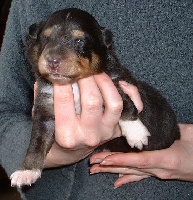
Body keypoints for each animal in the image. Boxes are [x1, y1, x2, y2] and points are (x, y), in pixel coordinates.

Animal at [10, 7, 179, 188]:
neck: (74, 84)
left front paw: (135, 133)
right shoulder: (45, 111)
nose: (52, 61)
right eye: (45, 38)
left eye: (79, 41)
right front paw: (26, 172)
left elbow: (125, 102)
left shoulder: (114, 82)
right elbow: (37, 142)